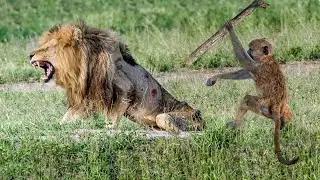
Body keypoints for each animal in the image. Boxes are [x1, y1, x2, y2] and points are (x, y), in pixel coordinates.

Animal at [30, 22, 205, 132]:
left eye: (47, 48)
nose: (29, 55)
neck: (82, 64)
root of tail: (200, 117)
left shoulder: (125, 87)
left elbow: (113, 117)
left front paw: (108, 129)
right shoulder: (87, 97)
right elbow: (66, 118)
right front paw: (55, 126)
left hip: (171, 116)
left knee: (170, 123)